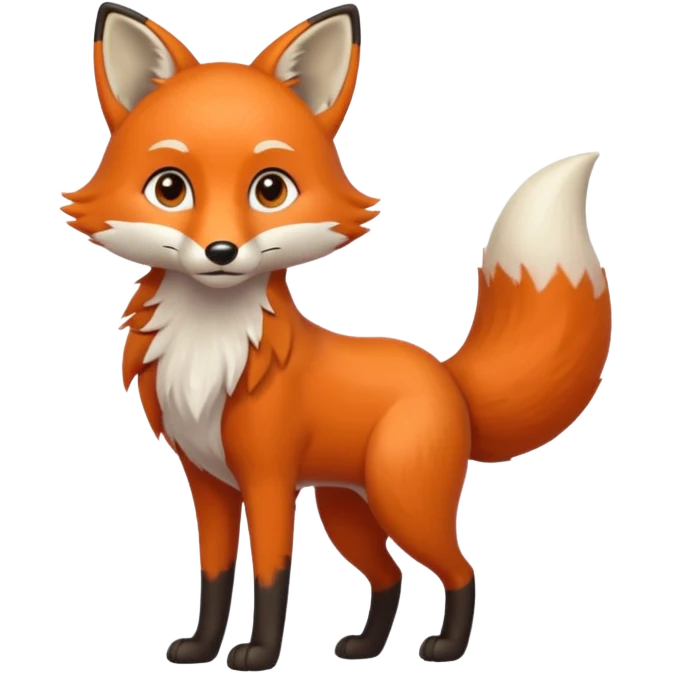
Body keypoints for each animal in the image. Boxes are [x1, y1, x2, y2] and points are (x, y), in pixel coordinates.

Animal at [60, 2, 613, 669]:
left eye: (271, 189)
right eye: (170, 188)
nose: (221, 252)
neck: (212, 348)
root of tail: (444, 374)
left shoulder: (268, 480)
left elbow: (270, 576)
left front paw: (258, 653)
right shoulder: (209, 484)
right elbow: (214, 577)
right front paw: (200, 647)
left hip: (402, 500)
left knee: (460, 569)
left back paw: (447, 647)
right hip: (345, 508)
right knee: (390, 577)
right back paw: (366, 646)